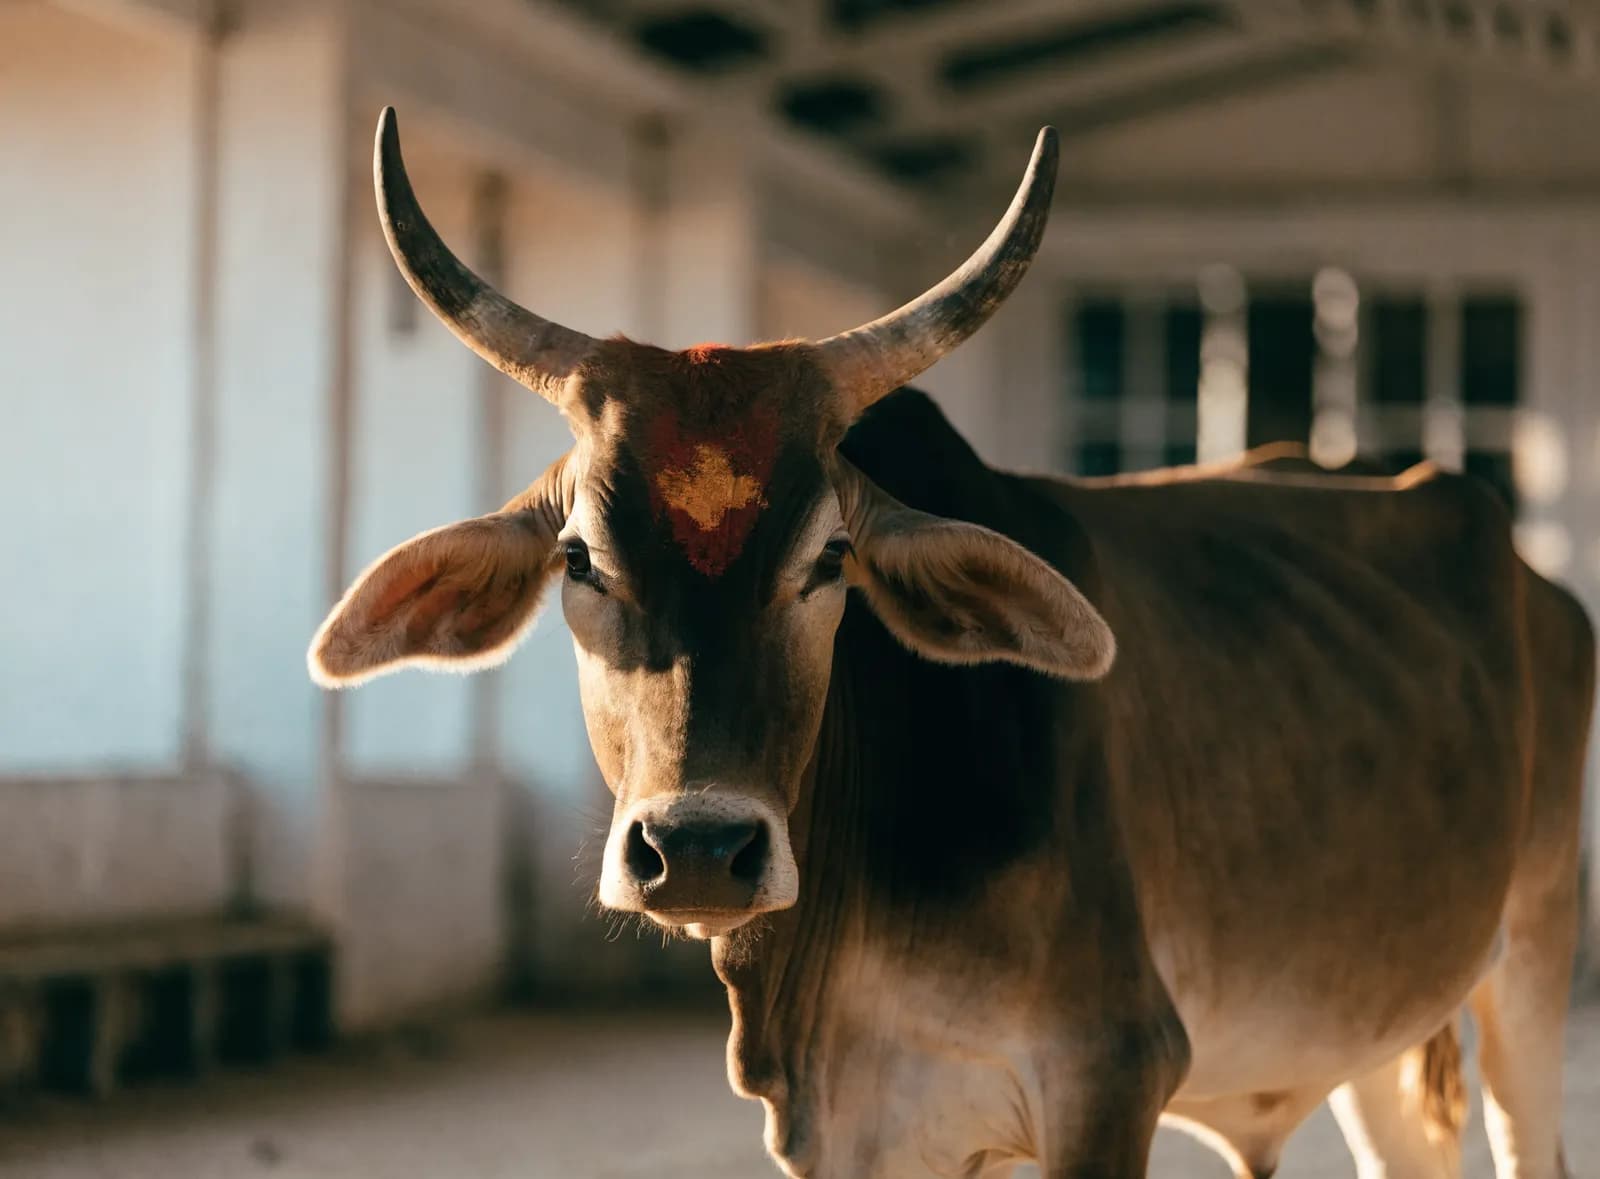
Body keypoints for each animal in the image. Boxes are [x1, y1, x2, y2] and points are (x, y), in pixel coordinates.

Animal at [310, 108, 1594, 1179]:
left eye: (831, 560)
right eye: (579, 558)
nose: (699, 852)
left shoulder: (1105, 1073)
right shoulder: (855, 1131)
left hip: (1529, 965)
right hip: (1373, 1027)